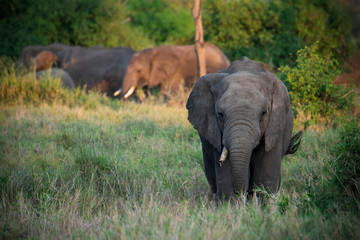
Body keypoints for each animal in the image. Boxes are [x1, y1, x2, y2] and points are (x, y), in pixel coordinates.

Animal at [187, 57, 302, 201]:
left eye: (264, 113)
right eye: (220, 114)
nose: (240, 193)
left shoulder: (275, 125)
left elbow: (267, 171)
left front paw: (266, 204)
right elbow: (225, 174)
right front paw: (229, 203)